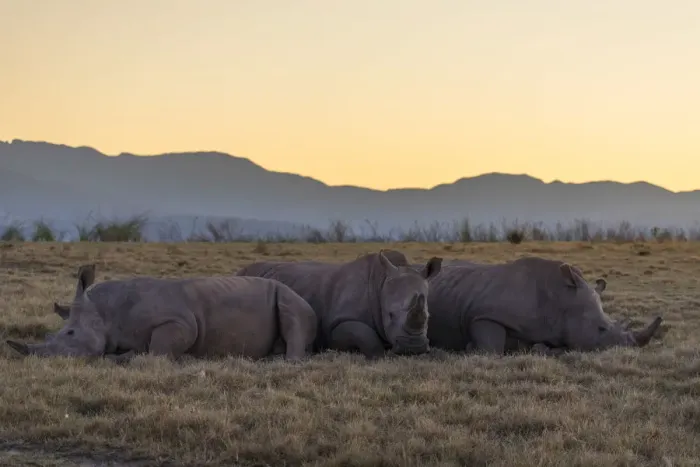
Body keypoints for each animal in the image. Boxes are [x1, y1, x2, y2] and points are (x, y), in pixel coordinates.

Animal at [7, 264, 318, 362]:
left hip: (292, 297)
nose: (38, 359)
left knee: (294, 315)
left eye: (71, 333)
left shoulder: (180, 322)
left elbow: (156, 350)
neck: (105, 313)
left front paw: (127, 357)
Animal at [235, 250, 443, 359]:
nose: (413, 348)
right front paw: (379, 355)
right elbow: (364, 335)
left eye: (429, 315)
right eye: (390, 315)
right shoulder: (335, 324)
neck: (380, 283)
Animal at [409, 256, 662, 355]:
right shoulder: (483, 315)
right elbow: (491, 347)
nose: (628, 350)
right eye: (601, 329)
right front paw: (471, 348)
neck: (560, 300)